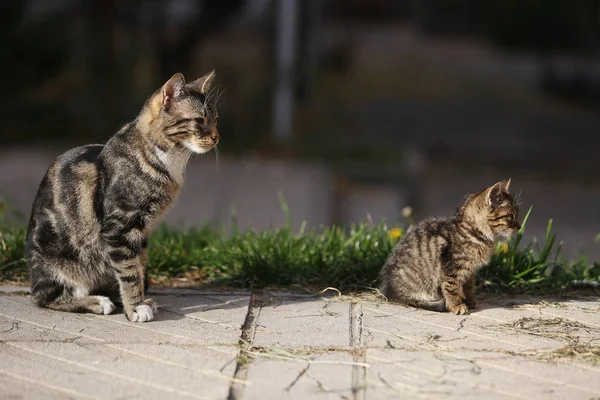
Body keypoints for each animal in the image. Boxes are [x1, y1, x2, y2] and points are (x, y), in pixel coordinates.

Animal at [26, 71, 220, 322]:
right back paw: (97, 301)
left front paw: (138, 301)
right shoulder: (119, 226)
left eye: (215, 119)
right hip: (55, 260)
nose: (217, 137)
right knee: (45, 297)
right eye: (199, 120)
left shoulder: (142, 230)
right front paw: (135, 307)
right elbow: (129, 271)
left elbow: (137, 265)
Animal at [380, 181, 520, 316]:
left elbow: (468, 287)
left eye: (516, 215)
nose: (519, 226)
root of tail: (389, 291)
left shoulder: (470, 272)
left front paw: (469, 301)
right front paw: (456, 306)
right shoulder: (451, 268)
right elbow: (452, 288)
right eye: (511, 216)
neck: (473, 233)